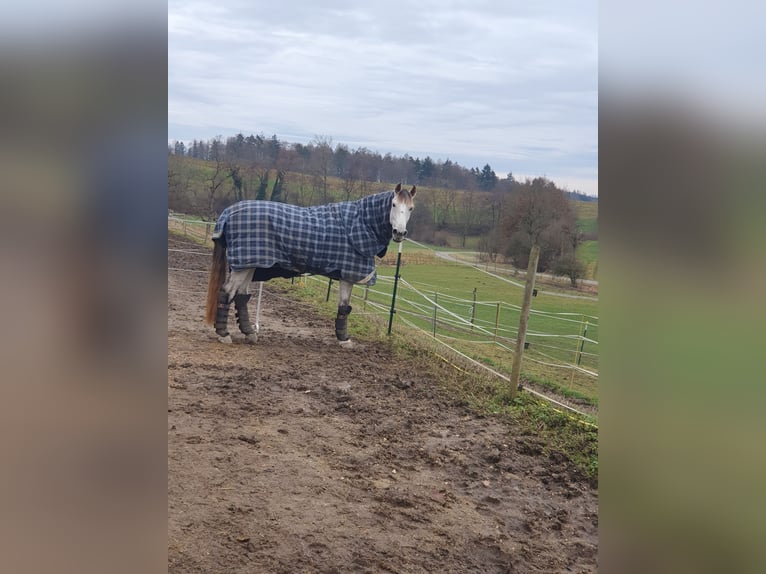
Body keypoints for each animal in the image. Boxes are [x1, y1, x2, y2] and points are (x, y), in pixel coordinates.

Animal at [204, 187, 416, 344]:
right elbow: (344, 306)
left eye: (411, 208)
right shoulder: (348, 275)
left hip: (251, 263)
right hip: (244, 265)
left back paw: (249, 333)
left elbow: (344, 307)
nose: (399, 233)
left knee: (241, 296)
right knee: (227, 293)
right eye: (394, 204)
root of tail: (228, 212)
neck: (361, 224)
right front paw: (344, 339)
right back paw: (224, 334)